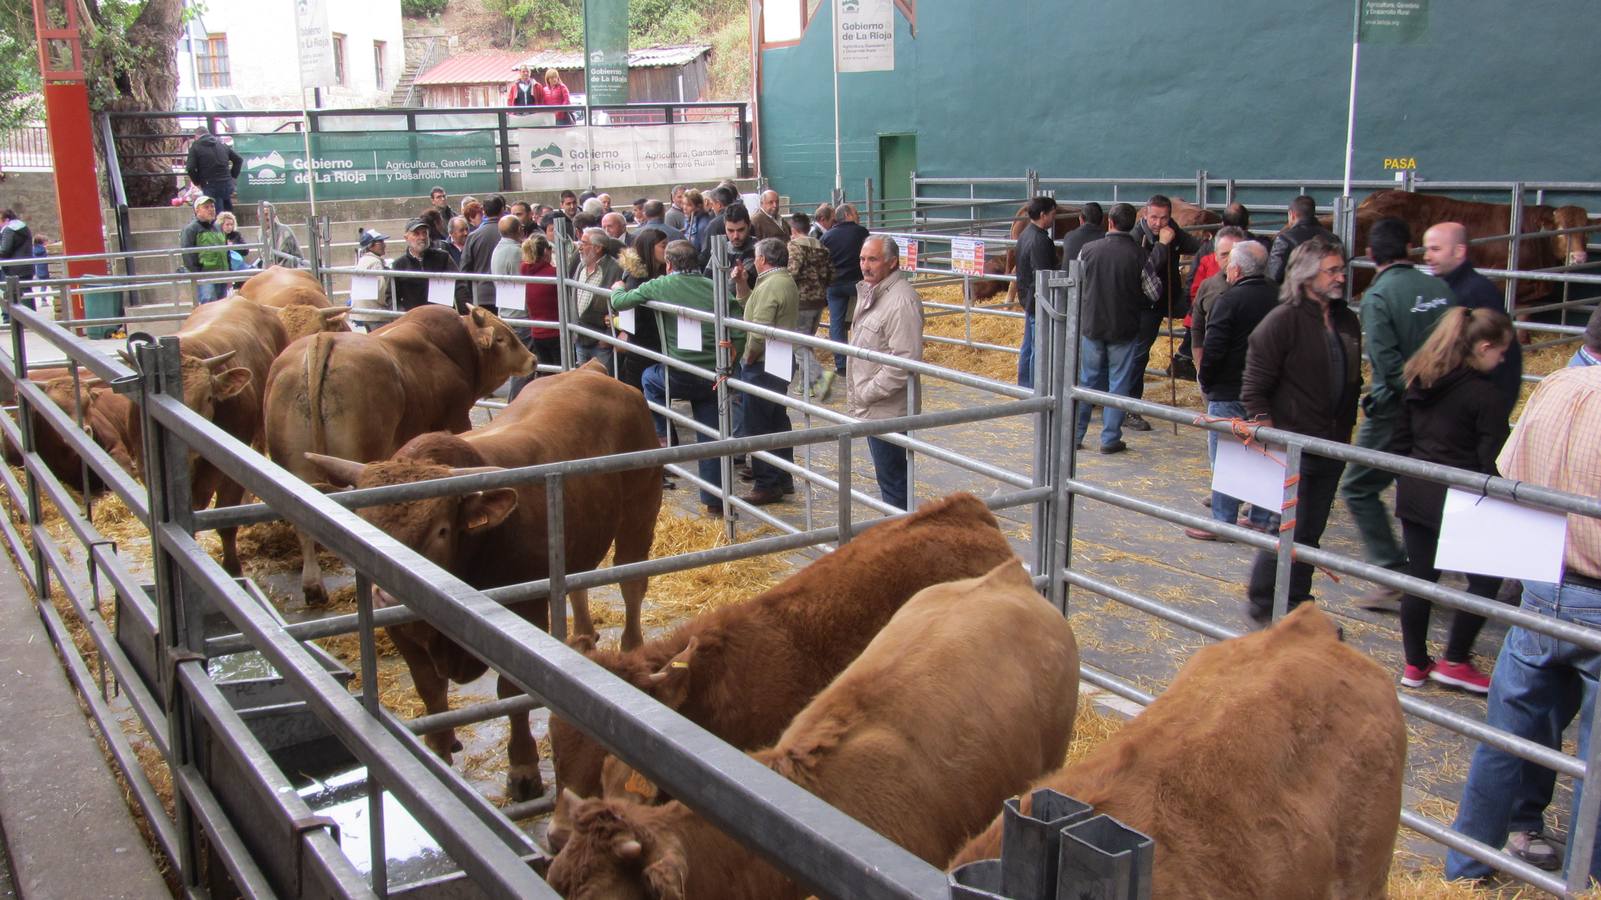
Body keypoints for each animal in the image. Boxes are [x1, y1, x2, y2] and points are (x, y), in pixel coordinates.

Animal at [264, 301, 537, 602]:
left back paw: (314, 586)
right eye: (501, 337)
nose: (532, 359)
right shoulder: (455, 417)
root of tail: (322, 341)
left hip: (294, 464)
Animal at [302, 360, 659, 800]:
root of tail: (592, 371)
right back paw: (581, 636)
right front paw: (439, 750)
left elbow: (511, 693)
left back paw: (631, 650)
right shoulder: (403, 633)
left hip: (639, 513)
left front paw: (523, 769)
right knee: (580, 577)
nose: (388, 595)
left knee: (632, 583)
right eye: (365, 522)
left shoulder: (524, 611)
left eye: (440, 530)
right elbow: (430, 690)